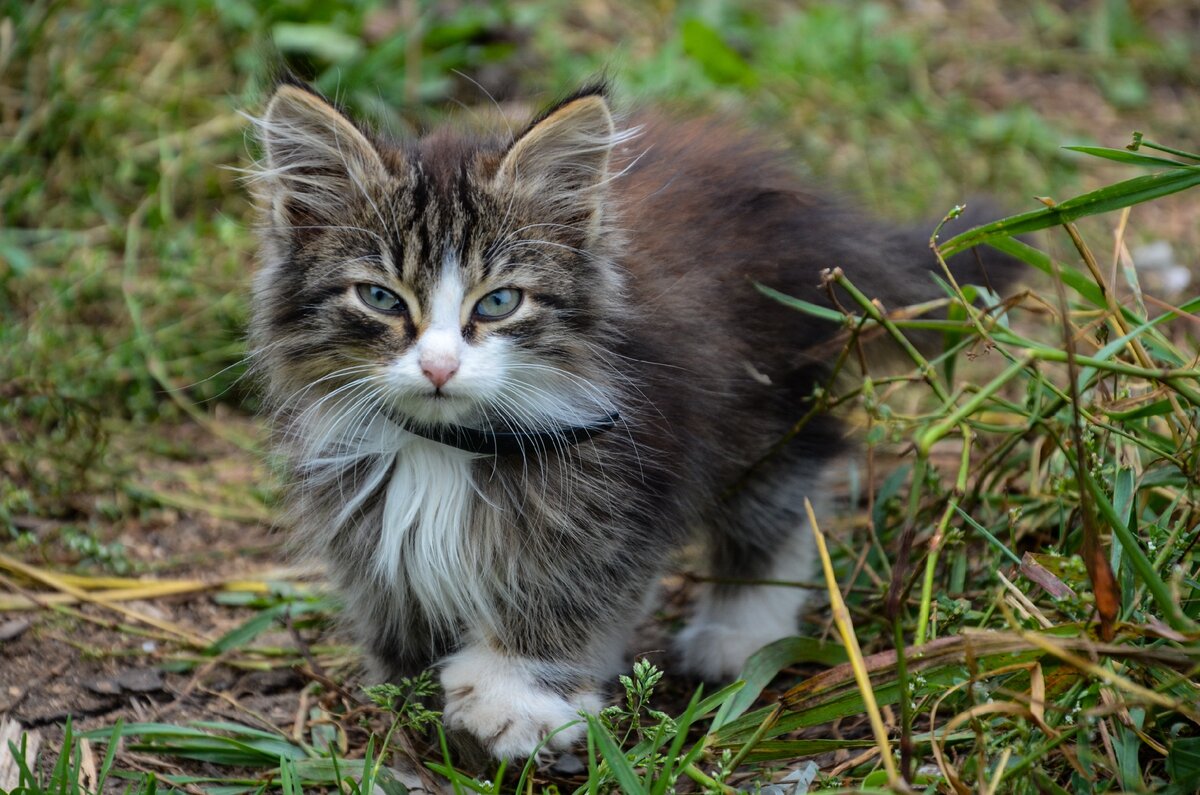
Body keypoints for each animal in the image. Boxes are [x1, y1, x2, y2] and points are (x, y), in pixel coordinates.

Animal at [248, 79, 1017, 758]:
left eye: (498, 302)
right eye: (380, 297)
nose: (439, 368)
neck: (447, 445)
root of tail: (800, 200)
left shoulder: (631, 480)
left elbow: (565, 590)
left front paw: (514, 698)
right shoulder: (365, 510)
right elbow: (395, 600)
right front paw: (409, 697)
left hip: (768, 404)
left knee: (781, 503)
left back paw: (741, 631)